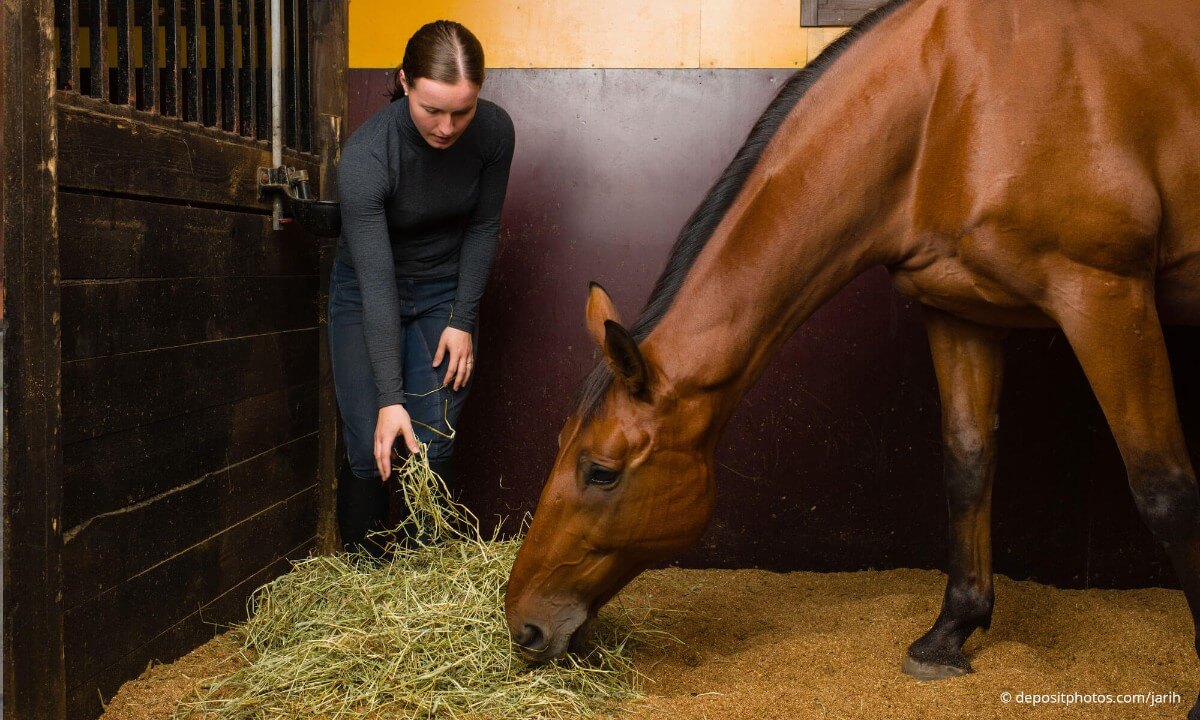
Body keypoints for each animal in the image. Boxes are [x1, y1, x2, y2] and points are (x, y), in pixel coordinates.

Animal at [504, 0, 1200, 714]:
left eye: (601, 472)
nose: (523, 624)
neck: (952, 101)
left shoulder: (1105, 294)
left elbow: (1165, 490)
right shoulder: (961, 312)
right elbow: (968, 463)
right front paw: (950, 633)